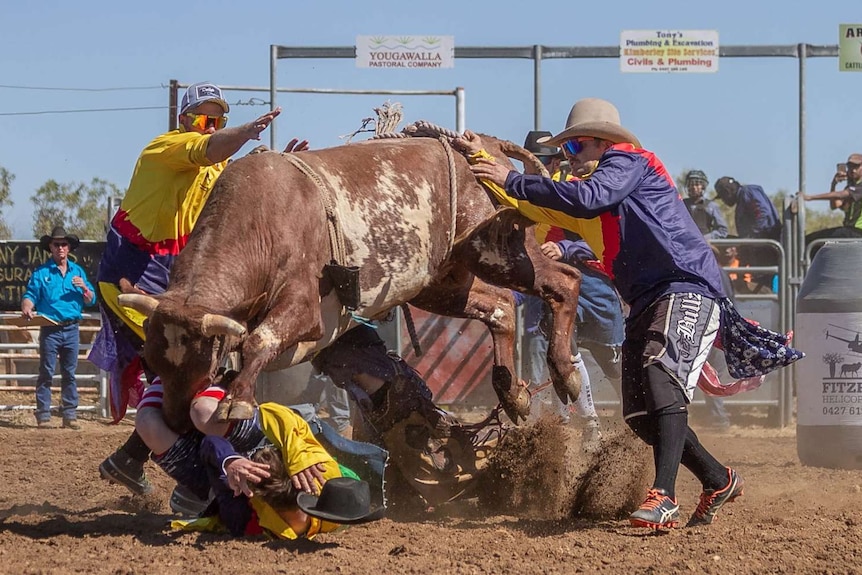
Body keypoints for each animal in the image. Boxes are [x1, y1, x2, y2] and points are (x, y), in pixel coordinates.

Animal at [120, 135, 580, 432]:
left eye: (202, 365)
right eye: (152, 363)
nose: (176, 423)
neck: (260, 220)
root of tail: (483, 144)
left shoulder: (304, 308)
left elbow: (259, 339)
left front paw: (239, 400)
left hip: (501, 251)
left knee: (565, 282)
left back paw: (564, 373)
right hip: (441, 284)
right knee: (500, 308)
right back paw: (512, 393)